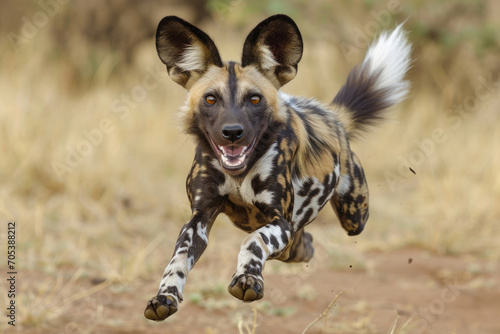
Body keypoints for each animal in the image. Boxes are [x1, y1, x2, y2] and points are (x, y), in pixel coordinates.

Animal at [144, 14, 410, 320]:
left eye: (254, 99)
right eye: (210, 99)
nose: (232, 132)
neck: (239, 173)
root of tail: (332, 116)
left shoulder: (279, 221)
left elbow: (253, 241)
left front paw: (248, 279)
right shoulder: (198, 219)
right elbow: (176, 259)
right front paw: (165, 296)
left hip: (353, 216)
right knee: (300, 244)